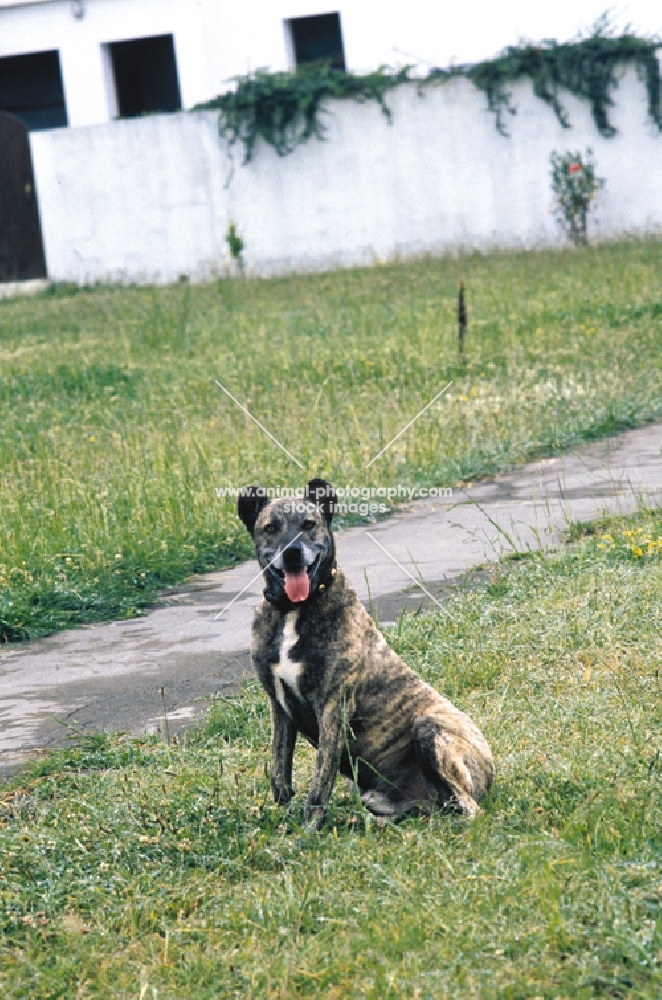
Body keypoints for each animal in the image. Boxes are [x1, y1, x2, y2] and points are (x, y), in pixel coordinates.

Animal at [239, 476, 492, 828]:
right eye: (271, 528)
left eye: (309, 524)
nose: (292, 553)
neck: (294, 609)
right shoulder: (280, 707)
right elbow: (279, 772)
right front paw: (283, 816)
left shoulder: (333, 707)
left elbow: (319, 782)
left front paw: (307, 831)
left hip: (430, 728)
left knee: (468, 807)